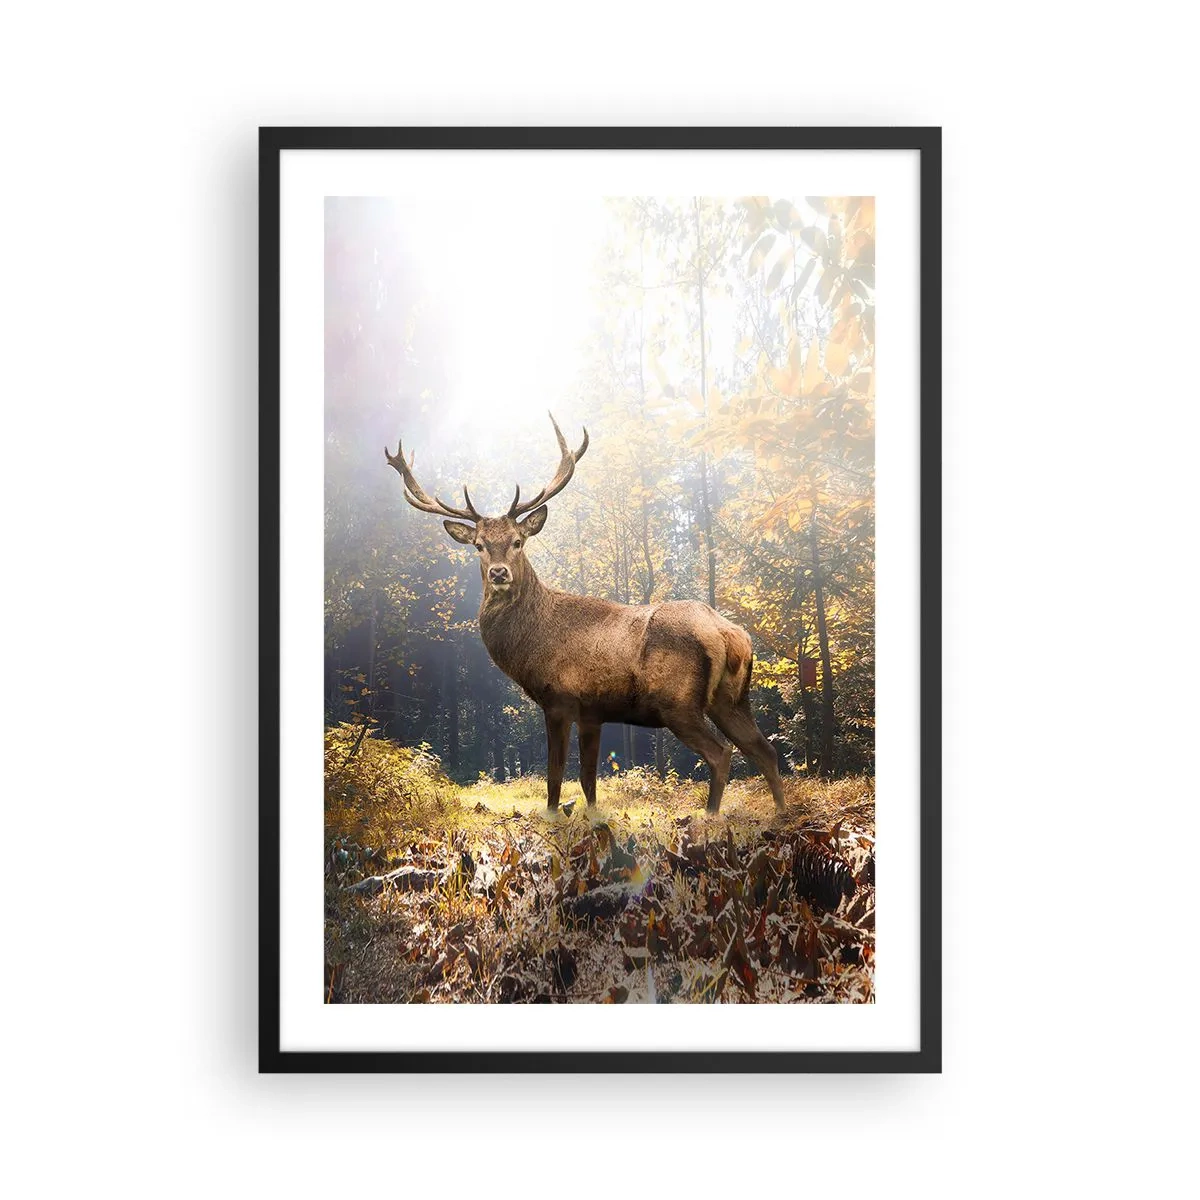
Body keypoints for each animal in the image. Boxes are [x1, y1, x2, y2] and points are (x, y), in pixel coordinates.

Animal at [386, 414, 787, 815]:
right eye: (479, 546)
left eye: (518, 541)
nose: (499, 573)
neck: (530, 645)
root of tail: (729, 634)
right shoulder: (593, 711)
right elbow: (589, 779)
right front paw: (592, 817)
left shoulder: (559, 698)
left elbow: (555, 774)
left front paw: (552, 815)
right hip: (731, 698)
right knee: (766, 750)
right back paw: (781, 812)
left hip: (678, 701)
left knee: (722, 753)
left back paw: (710, 815)